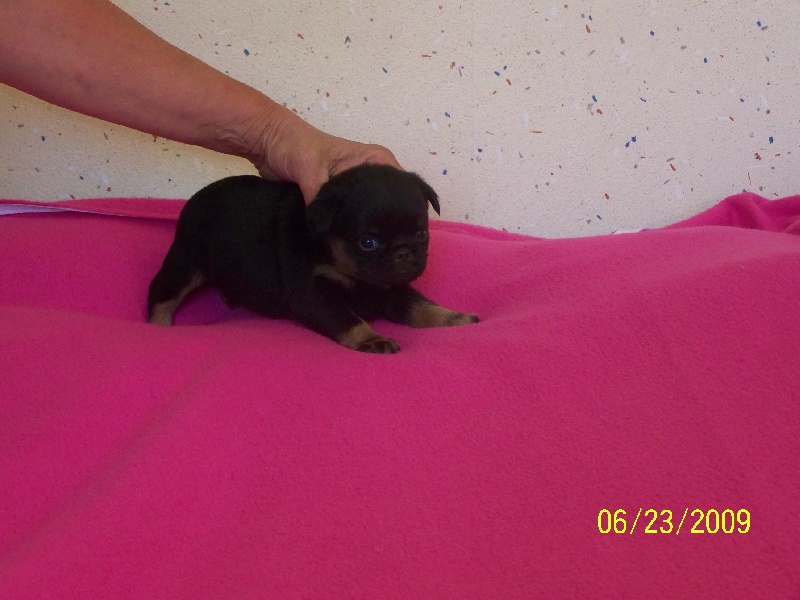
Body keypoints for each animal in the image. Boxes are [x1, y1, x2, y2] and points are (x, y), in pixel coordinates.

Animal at [147, 164, 478, 353]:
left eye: (421, 234)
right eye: (367, 242)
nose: (403, 252)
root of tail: (193, 200)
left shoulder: (394, 290)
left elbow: (421, 307)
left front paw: (451, 318)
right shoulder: (314, 295)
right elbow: (347, 318)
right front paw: (370, 338)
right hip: (188, 262)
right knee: (162, 291)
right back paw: (158, 324)